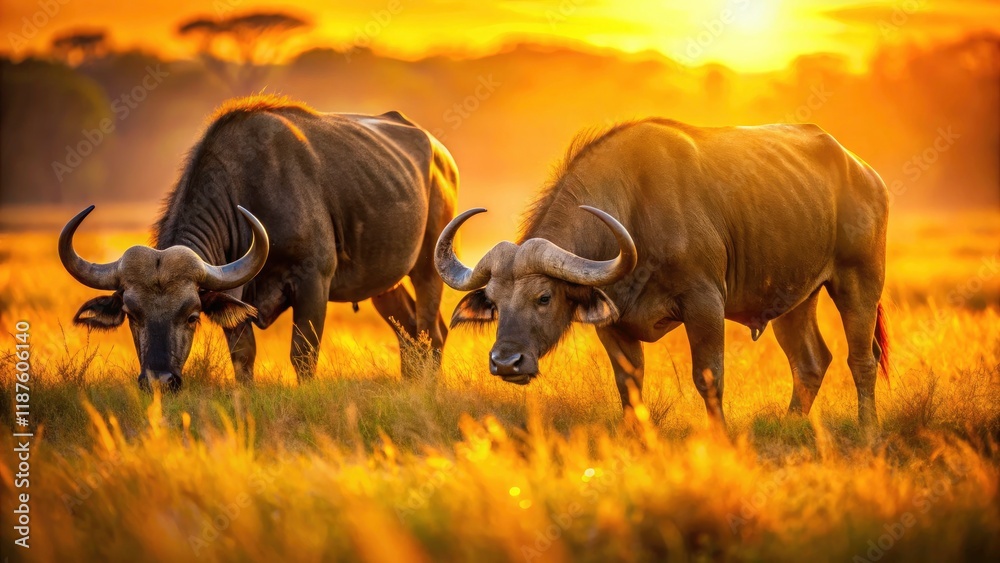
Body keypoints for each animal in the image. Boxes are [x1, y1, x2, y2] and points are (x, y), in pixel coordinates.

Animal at [61, 95, 458, 389]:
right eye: (132, 314)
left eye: (191, 316)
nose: (159, 380)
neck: (247, 192)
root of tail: (440, 153)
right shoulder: (235, 298)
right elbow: (243, 354)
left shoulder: (313, 281)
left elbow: (303, 354)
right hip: (384, 283)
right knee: (409, 332)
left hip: (429, 265)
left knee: (432, 330)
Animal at [436, 119, 889, 427]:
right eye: (494, 302)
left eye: (544, 297)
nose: (505, 362)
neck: (634, 209)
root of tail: (864, 171)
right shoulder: (613, 324)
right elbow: (629, 384)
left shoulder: (705, 304)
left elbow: (708, 377)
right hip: (795, 299)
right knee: (810, 362)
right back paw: (791, 422)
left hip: (859, 281)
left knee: (861, 360)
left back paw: (867, 427)